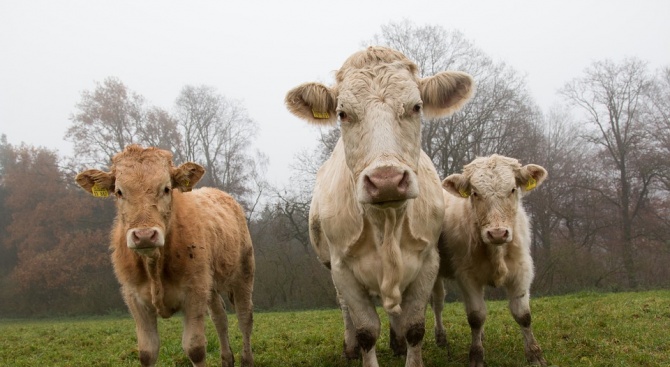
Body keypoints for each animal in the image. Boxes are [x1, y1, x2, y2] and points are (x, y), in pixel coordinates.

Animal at [75, 146, 256, 367]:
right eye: (119, 191)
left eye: (167, 188)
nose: (144, 235)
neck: (155, 268)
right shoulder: (135, 298)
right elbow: (147, 352)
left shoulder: (194, 292)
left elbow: (195, 349)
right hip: (210, 283)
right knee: (220, 317)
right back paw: (227, 359)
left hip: (244, 271)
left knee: (244, 316)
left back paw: (246, 359)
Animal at [286, 46, 476, 367]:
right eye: (343, 113)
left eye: (416, 107)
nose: (386, 180)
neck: (386, 222)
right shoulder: (342, 268)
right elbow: (366, 330)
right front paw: (361, 345)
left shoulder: (428, 260)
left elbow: (414, 327)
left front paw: (406, 347)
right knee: (345, 310)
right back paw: (350, 348)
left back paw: (396, 343)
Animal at [434, 155, 548, 367]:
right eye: (475, 193)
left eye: (512, 189)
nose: (497, 233)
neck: (496, 251)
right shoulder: (467, 275)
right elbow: (476, 316)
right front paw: (476, 356)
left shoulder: (522, 270)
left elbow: (523, 315)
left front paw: (535, 355)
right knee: (437, 303)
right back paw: (440, 337)